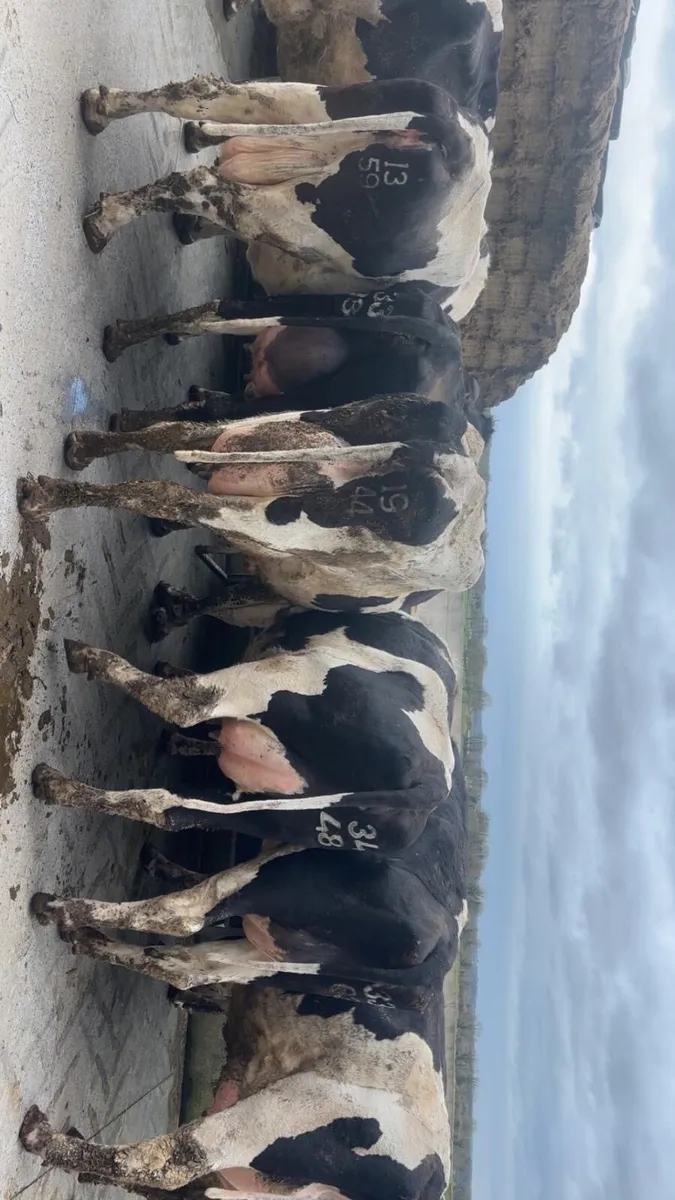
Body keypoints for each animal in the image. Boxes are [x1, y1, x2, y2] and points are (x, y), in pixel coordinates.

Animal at [29, 609, 457, 855]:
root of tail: (434, 782)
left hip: (287, 677)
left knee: (182, 700)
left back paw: (88, 659)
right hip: (276, 816)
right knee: (169, 810)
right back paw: (58, 786)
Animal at [29, 753, 468, 1010]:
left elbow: (172, 810)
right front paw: (160, 864)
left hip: (287, 872)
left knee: (181, 907)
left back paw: (60, 905)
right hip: (283, 964)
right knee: (188, 966)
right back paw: (89, 938)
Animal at [79, 76, 492, 317]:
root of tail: (460, 148)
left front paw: (193, 226)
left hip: (316, 101)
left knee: (207, 96)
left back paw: (101, 106)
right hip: (306, 218)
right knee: (203, 185)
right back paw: (105, 220)